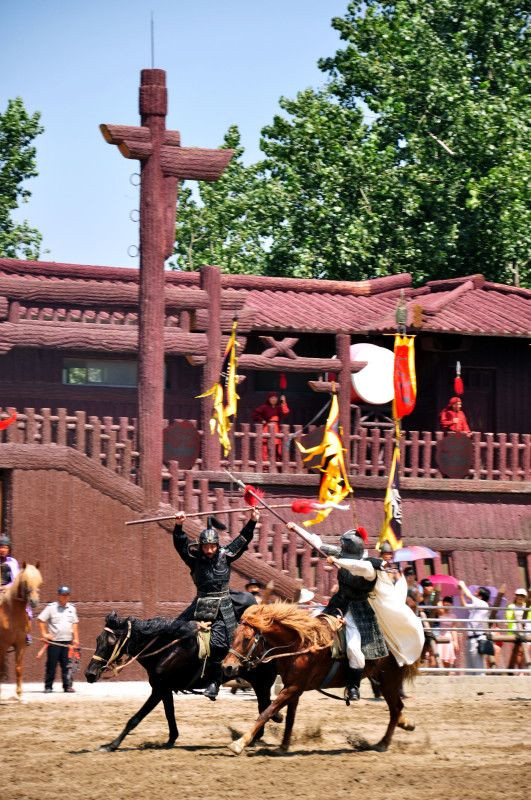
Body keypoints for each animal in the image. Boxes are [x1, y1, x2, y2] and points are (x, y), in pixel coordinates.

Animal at [0, 564, 42, 700]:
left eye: (40, 582)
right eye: (25, 582)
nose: (34, 601)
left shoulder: (20, 644)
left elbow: (18, 668)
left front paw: (19, 694)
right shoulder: (3, 645)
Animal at [222, 604, 418, 752]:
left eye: (247, 639)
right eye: (234, 635)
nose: (227, 666)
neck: (301, 645)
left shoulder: (293, 688)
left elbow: (267, 712)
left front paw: (239, 743)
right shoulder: (293, 688)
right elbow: (290, 718)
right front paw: (283, 746)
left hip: (389, 681)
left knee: (395, 708)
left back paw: (383, 743)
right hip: (384, 681)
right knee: (397, 708)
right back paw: (405, 724)